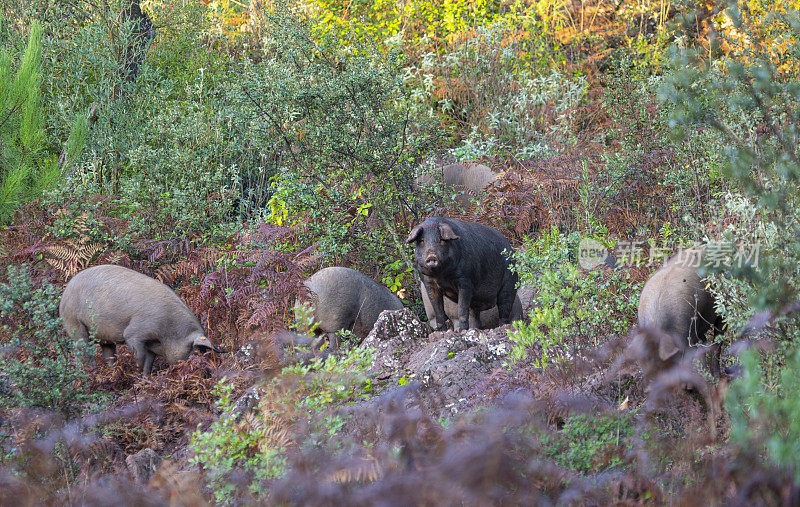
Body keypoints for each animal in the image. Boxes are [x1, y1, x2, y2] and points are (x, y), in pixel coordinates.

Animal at [58, 264, 219, 376]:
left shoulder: (151, 344)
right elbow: (139, 356)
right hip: (73, 323)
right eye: (196, 352)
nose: (206, 373)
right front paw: (136, 374)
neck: (168, 331)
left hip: (104, 336)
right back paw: (91, 372)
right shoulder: (135, 333)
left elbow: (149, 361)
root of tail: (65, 291)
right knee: (83, 351)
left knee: (108, 355)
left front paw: (146, 378)